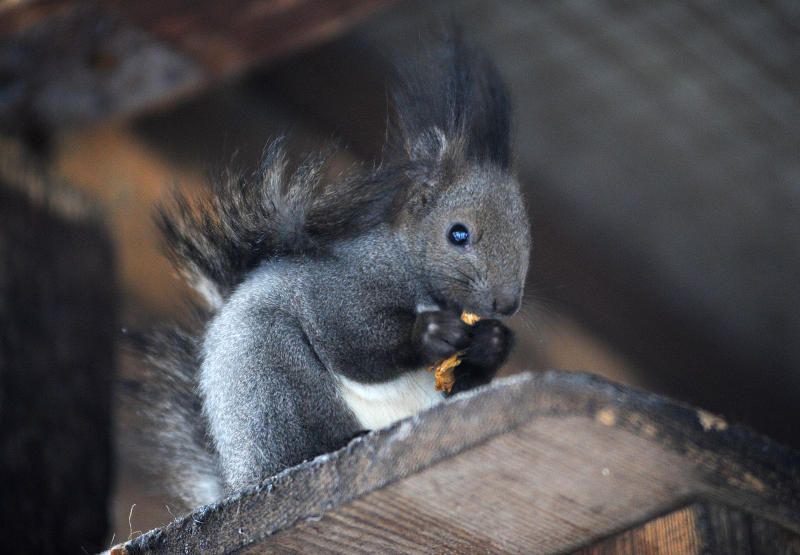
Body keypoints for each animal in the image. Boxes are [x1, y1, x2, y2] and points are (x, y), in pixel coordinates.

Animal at [138, 37, 532, 510]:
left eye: (527, 235)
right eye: (458, 233)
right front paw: (429, 333)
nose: (506, 303)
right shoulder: (338, 286)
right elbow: (350, 340)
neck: (412, 271)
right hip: (274, 377)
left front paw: (493, 341)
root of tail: (238, 477)